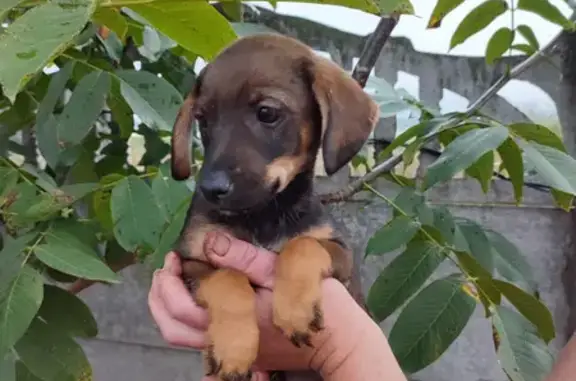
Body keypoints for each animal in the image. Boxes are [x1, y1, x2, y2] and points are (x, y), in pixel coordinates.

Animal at [170, 33, 378, 380]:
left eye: (267, 113)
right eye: (202, 120)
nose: (209, 189)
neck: (262, 216)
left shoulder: (342, 257)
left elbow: (302, 246)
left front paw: (295, 311)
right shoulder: (192, 259)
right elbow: (227, 278)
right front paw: (234, 348)